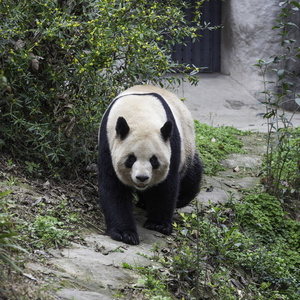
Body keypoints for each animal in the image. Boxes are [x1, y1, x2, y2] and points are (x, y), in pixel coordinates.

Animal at [98, 84, 202, 244]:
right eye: (131, 159)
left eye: (154, 160)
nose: (142, 178)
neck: (140, 114)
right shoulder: (108, 143)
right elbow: (113, 186)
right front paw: (124, 233)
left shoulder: (172, 144)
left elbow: (166, 185)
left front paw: (157, 224)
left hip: (187, 145)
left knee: (191, 176)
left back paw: (179, 199)